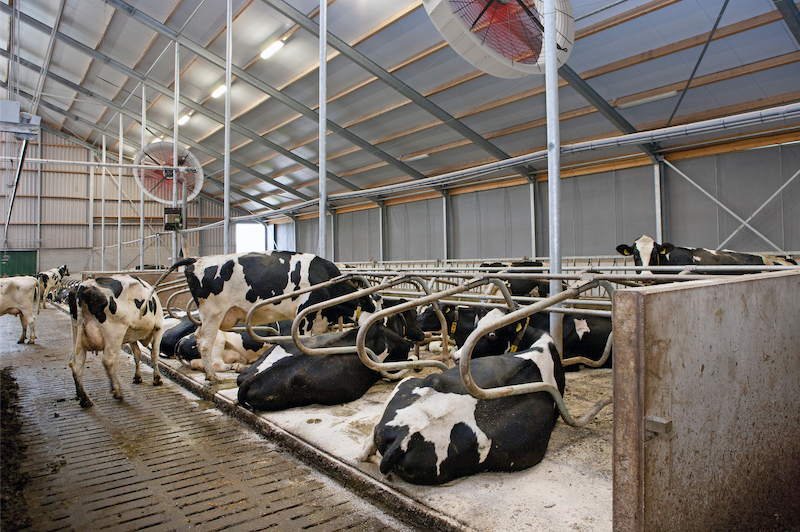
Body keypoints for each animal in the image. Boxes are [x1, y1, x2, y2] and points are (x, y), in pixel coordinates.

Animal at [70, 274, 166, 408]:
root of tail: (83, 286)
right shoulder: (158, 328)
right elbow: (155, 354)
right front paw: (157, 379)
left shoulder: (132, 335)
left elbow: (137, 354)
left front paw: (137, 377)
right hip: (115, 332)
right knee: (108, 361)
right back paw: (117, 391)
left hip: (77, 334)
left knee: (76, 364)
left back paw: (84, 399)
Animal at [145, 252, 378, 382]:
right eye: (375, 310)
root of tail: (197, 259)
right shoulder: (304, 314)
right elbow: (303, 340)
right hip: (213, 313)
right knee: (205, 344)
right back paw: (213, 376)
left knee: (199, 337)